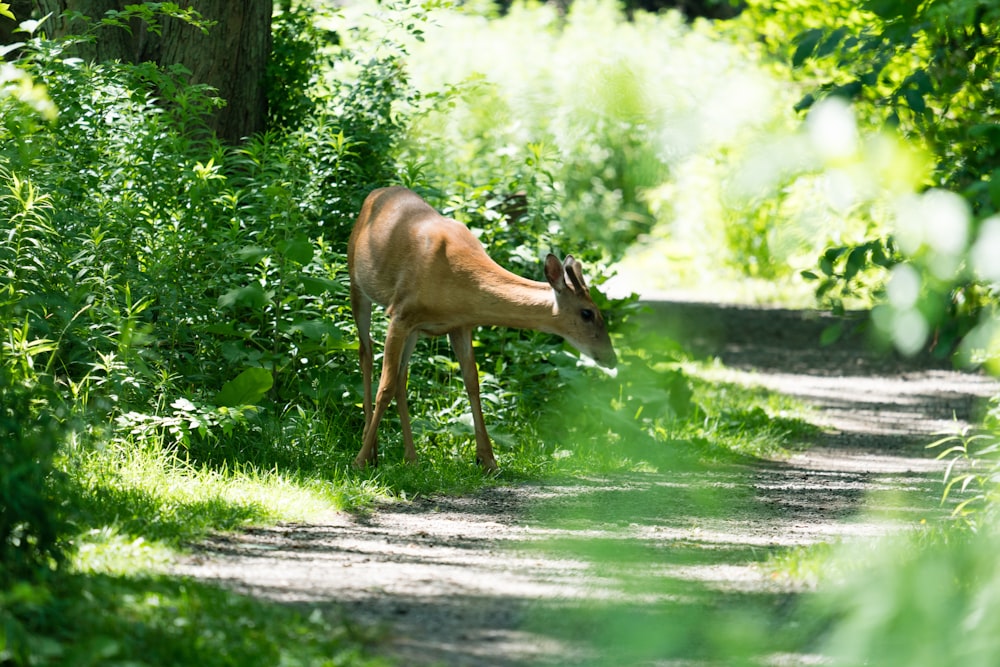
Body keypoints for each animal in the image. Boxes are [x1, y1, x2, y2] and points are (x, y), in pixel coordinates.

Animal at [352, 185, 616, 472]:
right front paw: (360, 460)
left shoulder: (458, 325)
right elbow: (384, 387)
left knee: (402, 377)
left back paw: (411, 457)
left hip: (413, 331)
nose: (612, 358)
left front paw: (487, 459)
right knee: (366, 354)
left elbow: (472, 383)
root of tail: (377, 192)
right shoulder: (400, 313)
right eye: (587, 313)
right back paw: (372, 450)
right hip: (357, 284)